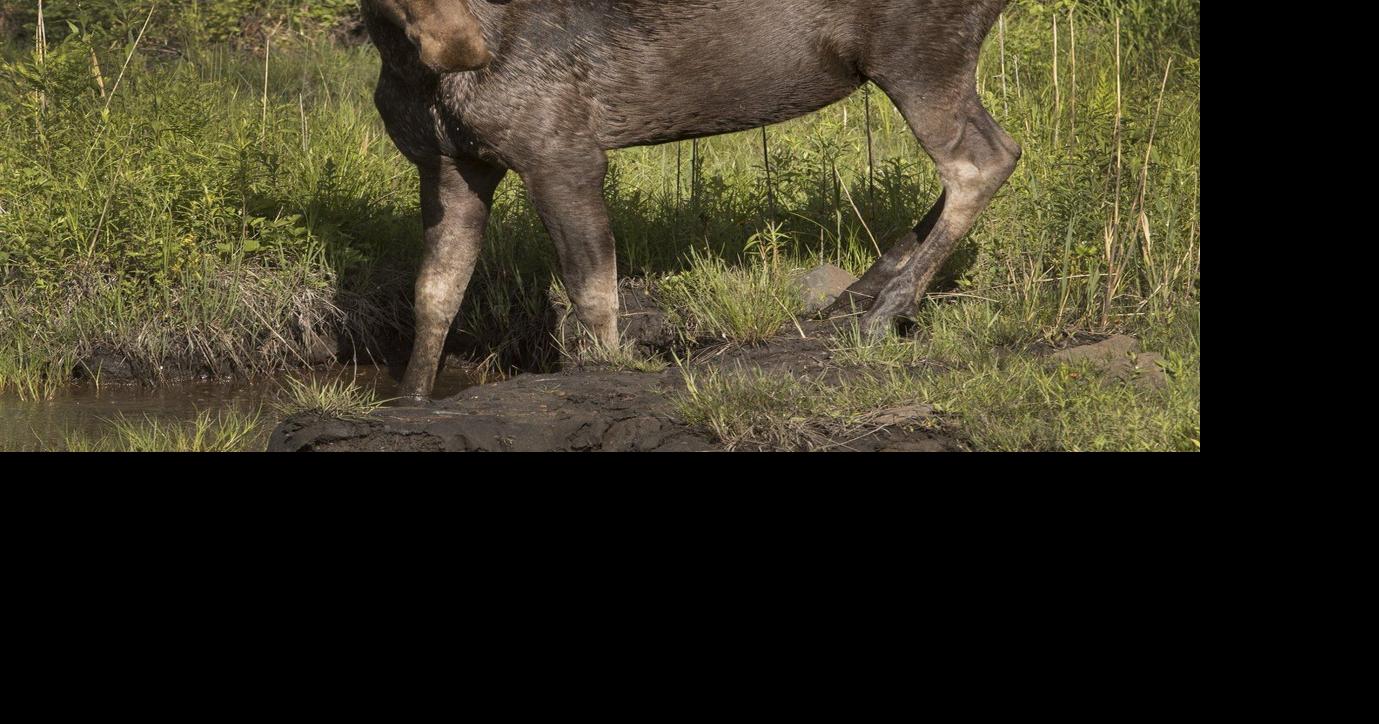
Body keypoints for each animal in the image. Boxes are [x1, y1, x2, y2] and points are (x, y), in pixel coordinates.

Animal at [361, 0, 1022, 400]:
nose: (462, 47)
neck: (404, 61)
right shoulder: (449, 165)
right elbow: (435, 293)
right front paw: (411, 396)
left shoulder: (563, 153)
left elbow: (591, 290)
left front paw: (609, 370)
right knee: (985, 160)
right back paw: (861, 293)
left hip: (919, 58)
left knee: (984, 160)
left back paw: (887, 310)